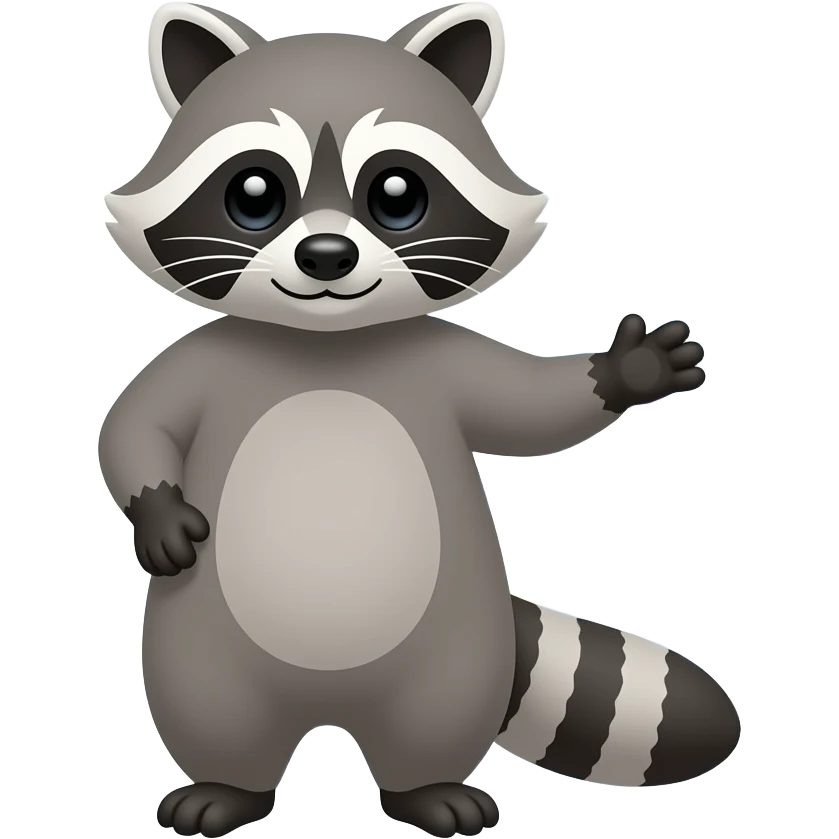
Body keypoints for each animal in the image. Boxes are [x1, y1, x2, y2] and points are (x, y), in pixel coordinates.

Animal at [98, 3, 737, 837]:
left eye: (397, 194)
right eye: (254, 194)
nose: (325, 255)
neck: (327, 344)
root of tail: (329, 704)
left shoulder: (440, 361)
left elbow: (529, 408)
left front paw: (625, 373)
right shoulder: (206, 358)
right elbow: (133, 423)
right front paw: (159, 509)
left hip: (456, 643)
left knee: (437, 708)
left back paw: (426, 787)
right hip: (201, 641)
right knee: (212, 703)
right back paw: (227, 784)